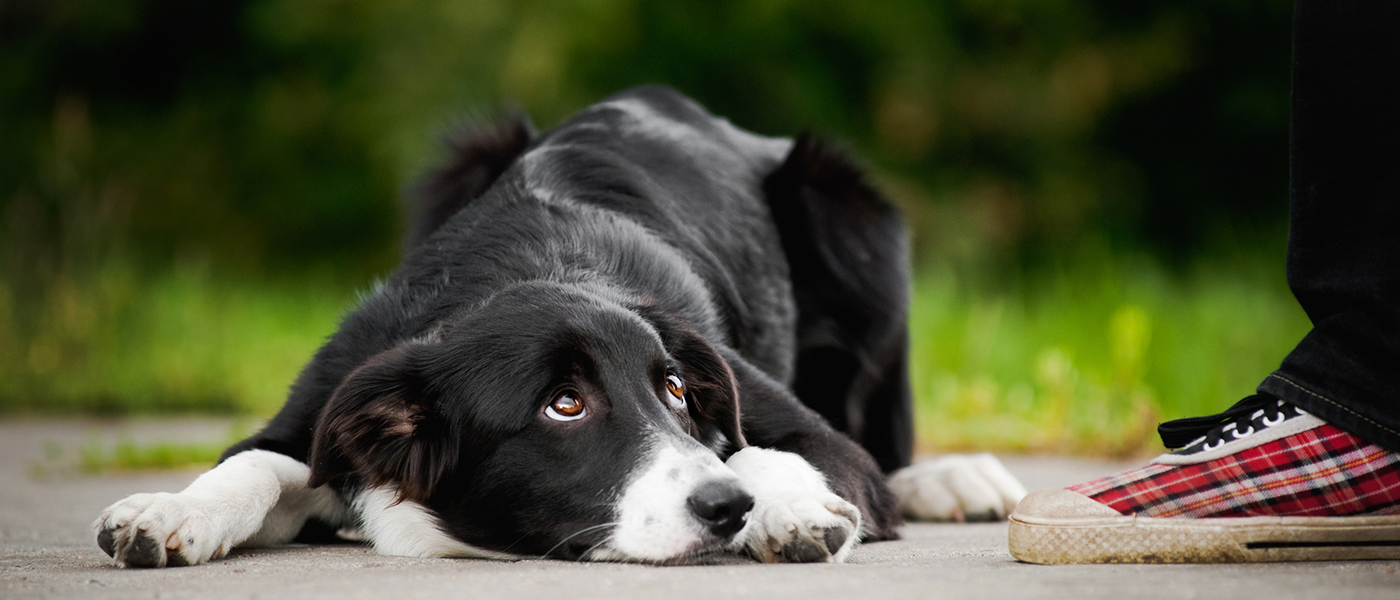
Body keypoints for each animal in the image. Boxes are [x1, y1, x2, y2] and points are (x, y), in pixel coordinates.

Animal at [93, 86, 1024, 562]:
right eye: (563, 405)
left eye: (679, 391)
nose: (726, 510)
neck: (535, 271)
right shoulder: (326, 400)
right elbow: (254, 464)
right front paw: (168, 511)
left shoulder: (789, 420)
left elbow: (776, 447)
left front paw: (790, 507)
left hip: (855, 216)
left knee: (887, 440)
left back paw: (952, 479)